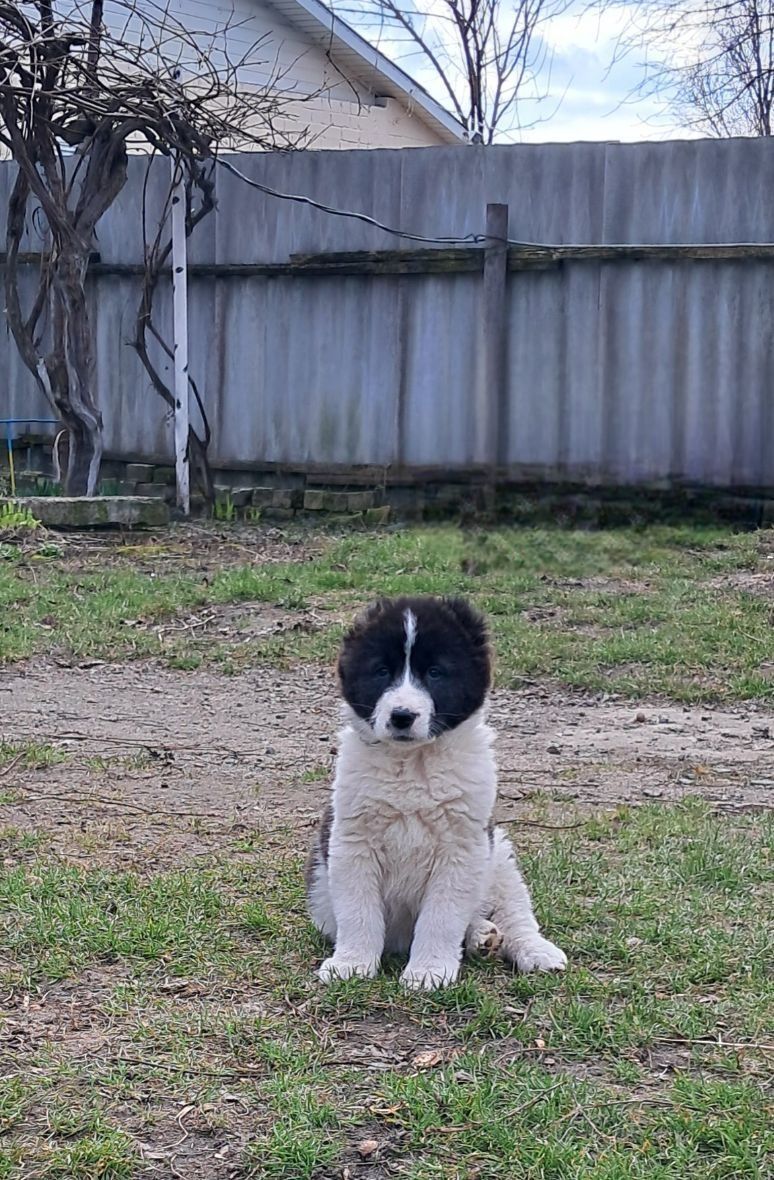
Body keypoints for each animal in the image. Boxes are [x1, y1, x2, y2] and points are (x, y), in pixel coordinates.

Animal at [304, 594, 566, 991]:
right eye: (382, 672)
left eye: (435, 673)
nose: (401, 716)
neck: (413, 762)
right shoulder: (352, 842)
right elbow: (358, 913)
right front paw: (352, 964)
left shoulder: (462, 848)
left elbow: (441, 918)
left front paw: (428, 972)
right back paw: (481, 936)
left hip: (499, 860)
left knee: (515, 913)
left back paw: (531, 950)